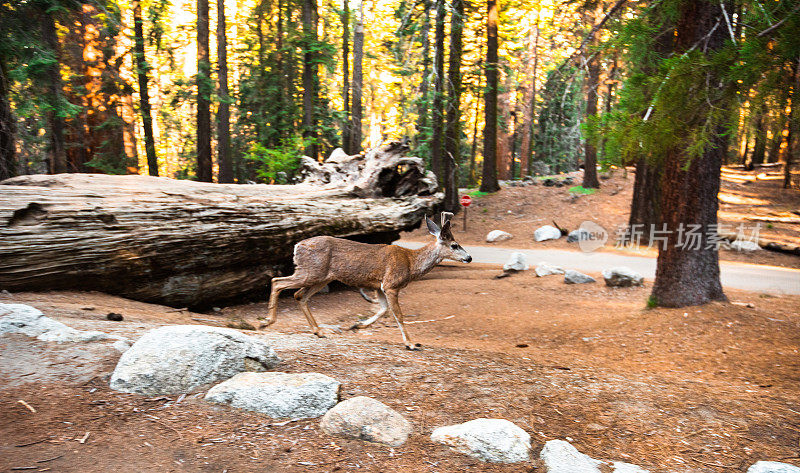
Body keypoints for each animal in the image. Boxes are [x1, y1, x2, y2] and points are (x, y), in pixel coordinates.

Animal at [260, 212, 472, 348]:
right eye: (454, 245)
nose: (469, 257)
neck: (411, 263)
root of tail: (296, 246)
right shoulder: (391, 284)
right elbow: (398, 314)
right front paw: (411, 343)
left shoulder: (379, 286)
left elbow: (383, 309)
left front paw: (357, 325)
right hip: (311, 272)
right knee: (278, 282)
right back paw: (266, 322)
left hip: (321, 277)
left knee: (299, 295)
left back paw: (318, 331)